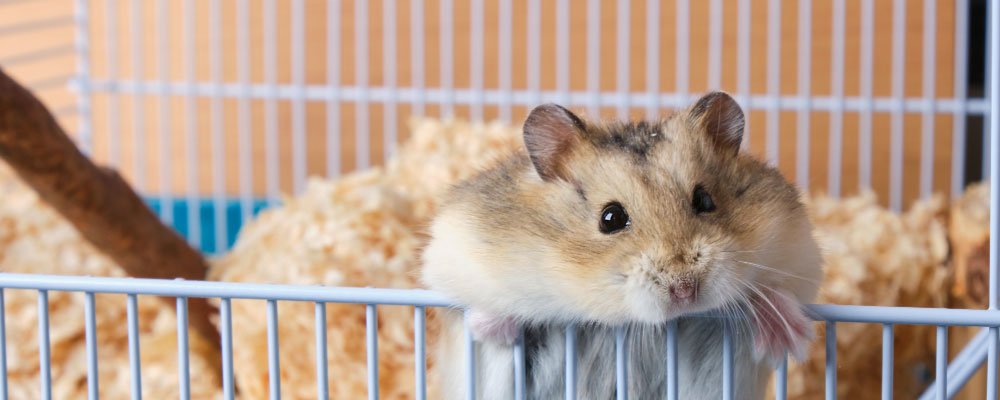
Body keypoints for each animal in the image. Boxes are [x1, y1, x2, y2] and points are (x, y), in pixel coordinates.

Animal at [420, 92, 820, 398]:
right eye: (610, 218)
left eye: (705, 200)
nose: (684, 289)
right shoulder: (452, 251)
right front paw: (493, 323)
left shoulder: (798, 251)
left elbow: (781, 291)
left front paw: (788, 335)